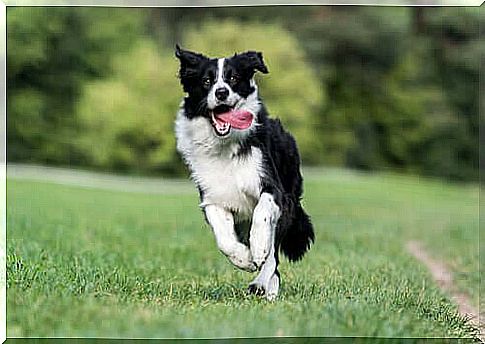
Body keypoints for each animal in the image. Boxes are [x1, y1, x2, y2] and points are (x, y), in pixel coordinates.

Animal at [174, 46, 314, 300]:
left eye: (233, 78)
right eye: (207, 81)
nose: (221, 92)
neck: (225, 147)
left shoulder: (273, 189)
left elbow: (263, 216)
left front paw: (257, 249)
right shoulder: (213, 198)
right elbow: (224, 239)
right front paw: (244, 259)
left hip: (289, 203)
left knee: (273, 256)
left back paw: (263, 285)